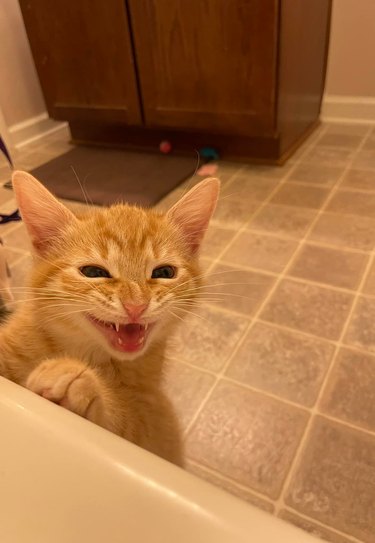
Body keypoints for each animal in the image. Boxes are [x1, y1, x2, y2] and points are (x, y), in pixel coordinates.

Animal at [0, 172, 220, 466]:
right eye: (94, 272)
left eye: (164, 272)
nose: (136, 305)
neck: (88, 352)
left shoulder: (156, 418)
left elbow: (131, 424)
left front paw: (80, 381)